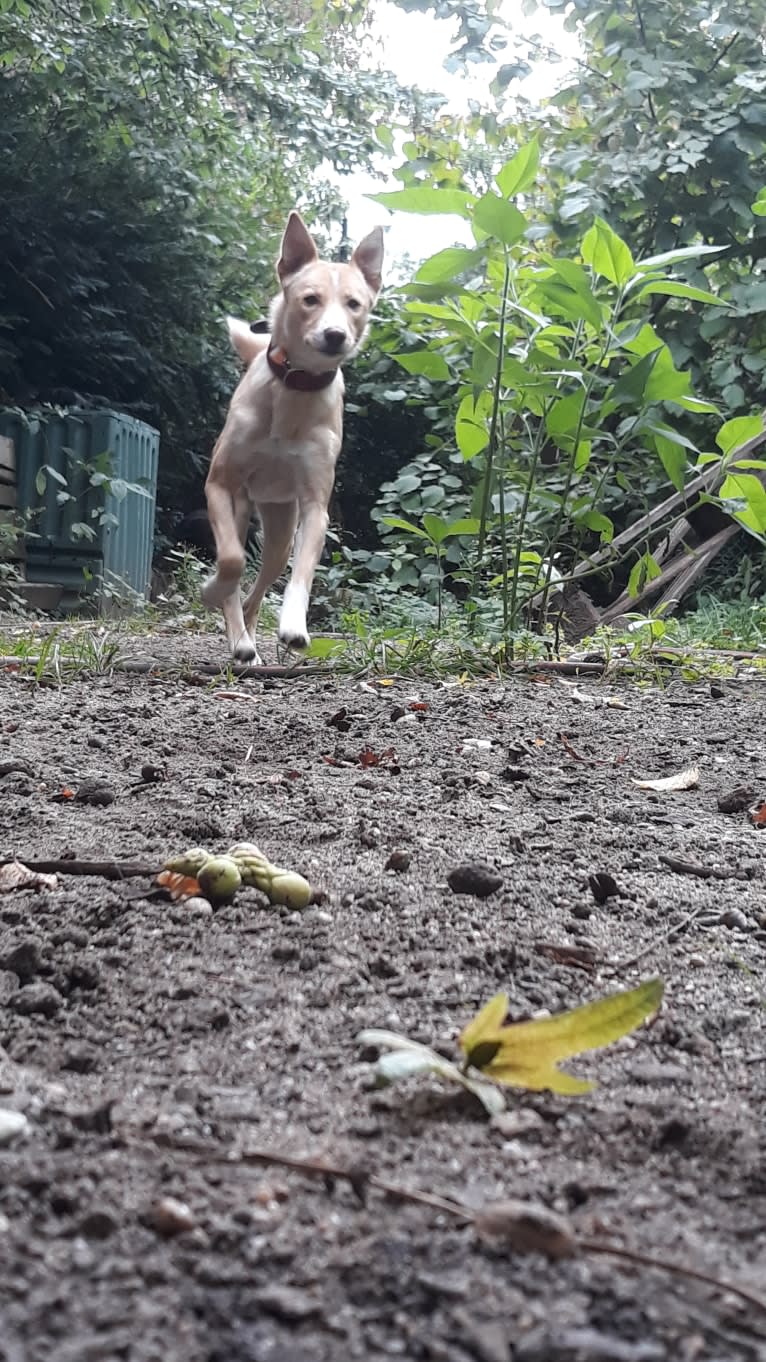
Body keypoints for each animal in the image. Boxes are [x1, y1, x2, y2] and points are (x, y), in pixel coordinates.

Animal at [201, 209, 381, 661]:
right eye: (310, 299)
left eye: (354, 304)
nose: (335, 335)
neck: (294, 389)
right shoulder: (218, 484)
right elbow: (231, 561)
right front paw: (211, 590)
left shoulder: (316, 506)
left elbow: (303, 573)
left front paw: (294, 625)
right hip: (239, 508)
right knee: (237, 575)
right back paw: (239, 639)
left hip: (281, 529)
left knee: (260, 588)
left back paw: (249, 637)